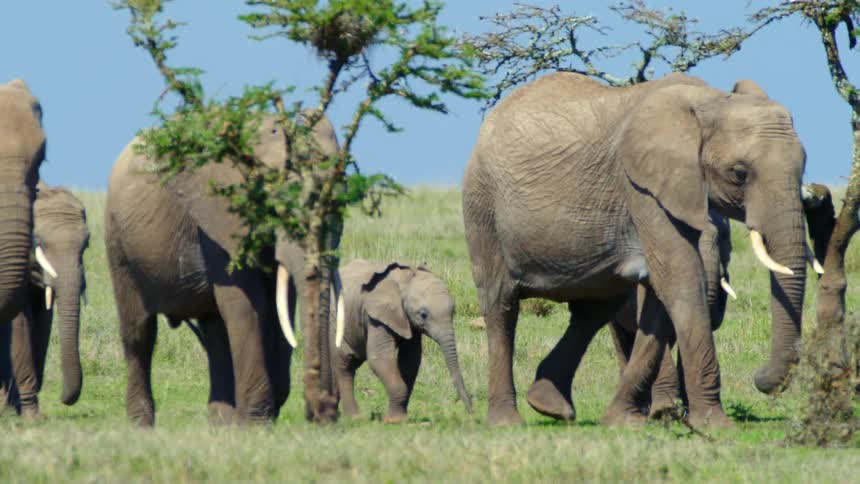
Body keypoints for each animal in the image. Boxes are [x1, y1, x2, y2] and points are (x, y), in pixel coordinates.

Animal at [0, 183, 89, 417]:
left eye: (86, 244)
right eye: (38, 242)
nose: (63, 399)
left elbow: (43, 324)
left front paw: (22, 410)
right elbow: (20, 325)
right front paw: (33, 417)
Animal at [105, 113, 344, 426]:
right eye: (280, 203)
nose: (324, 412)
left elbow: (282, 307)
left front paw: (261, 416)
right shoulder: (219, 221)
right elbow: (247, 305)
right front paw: (256, 424)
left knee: (216, 330)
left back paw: (222, 422)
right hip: (117, 239)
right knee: (140, 331)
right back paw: (142, 425)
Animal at [331, 260, 472, 422]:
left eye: (453, 311)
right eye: (423, 314)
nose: (471, 411)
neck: (405, 280)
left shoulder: (409, 321)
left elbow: (410, 361)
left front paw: (400, 418)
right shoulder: (375, 316)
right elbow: (379, 358)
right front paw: (395, 421)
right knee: (344, 363)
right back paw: (354, 418)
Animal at [462, 72, 813, 427]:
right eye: (739, 173)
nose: (760, 379)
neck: (709, 101)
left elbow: (660, 298)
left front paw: (625, 422)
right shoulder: (643, 187)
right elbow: (680, 280)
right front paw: (713, 425)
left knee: (594, 310)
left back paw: (550, 406)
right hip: (482, 207)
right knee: (502, 306)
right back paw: (507, 421)